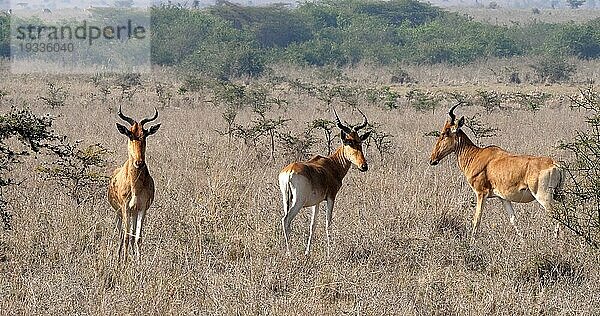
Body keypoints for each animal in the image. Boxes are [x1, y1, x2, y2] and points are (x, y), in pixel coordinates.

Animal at [106, 105, 161, 262]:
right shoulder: (125, 208)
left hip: (133, 213)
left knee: (131, 235)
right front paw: (124, 262)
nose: (139, 163)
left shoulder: (142, 209)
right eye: (130, 134)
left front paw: (138, 262)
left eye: (145, 135)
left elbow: (137, 238)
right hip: (120, 213)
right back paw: (119, 258)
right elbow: (125, 236)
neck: (135, 186)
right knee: (121, 234)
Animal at [280, 108, 370, 256]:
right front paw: (329, 252)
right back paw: (290, 252)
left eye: (359, 142)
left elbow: (313, 225)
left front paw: (307, 252)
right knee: (286, 220)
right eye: (349, 143)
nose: (364, 166)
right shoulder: (331, 197)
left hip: (285, 199)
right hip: (298, 201)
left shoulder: (316, 202)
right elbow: (328, 223)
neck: (331, 164)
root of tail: (290, 171)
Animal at [428, 104, 564, 242]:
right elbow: (513, 220)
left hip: (543, 196)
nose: (432, 160)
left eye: (445, 133)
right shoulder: (503, 198)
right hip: (557, 195)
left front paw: (471, 242)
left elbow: (477, 219)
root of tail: (555, 164)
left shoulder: (481, 193)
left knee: (559, 215)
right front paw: (523, 242)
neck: (476, 155)